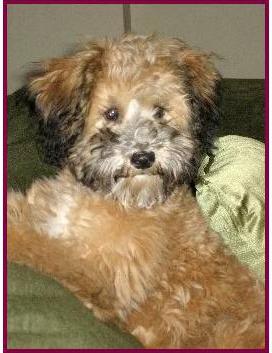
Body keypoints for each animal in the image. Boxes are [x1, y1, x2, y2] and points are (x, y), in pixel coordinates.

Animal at [7, 34, 264, 348]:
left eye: (160, 112)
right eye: (111, 113)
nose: (143, 157)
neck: (113, 197)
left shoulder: (102, 278)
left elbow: (46, 251)